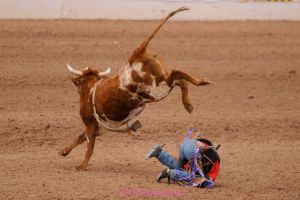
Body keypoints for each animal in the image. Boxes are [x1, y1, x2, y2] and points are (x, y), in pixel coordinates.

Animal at [59, 7, 211, 171]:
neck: (90, 90)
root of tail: (137, 55)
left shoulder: (90, 125)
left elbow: (89, 145)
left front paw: (82, 166)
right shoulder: (99, 128)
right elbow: (80, 138)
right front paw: (64, 151)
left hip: (157, 90)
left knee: (177, 74)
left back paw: (199, 84)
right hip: (160, 85)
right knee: (180, 81)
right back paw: (189, 103)